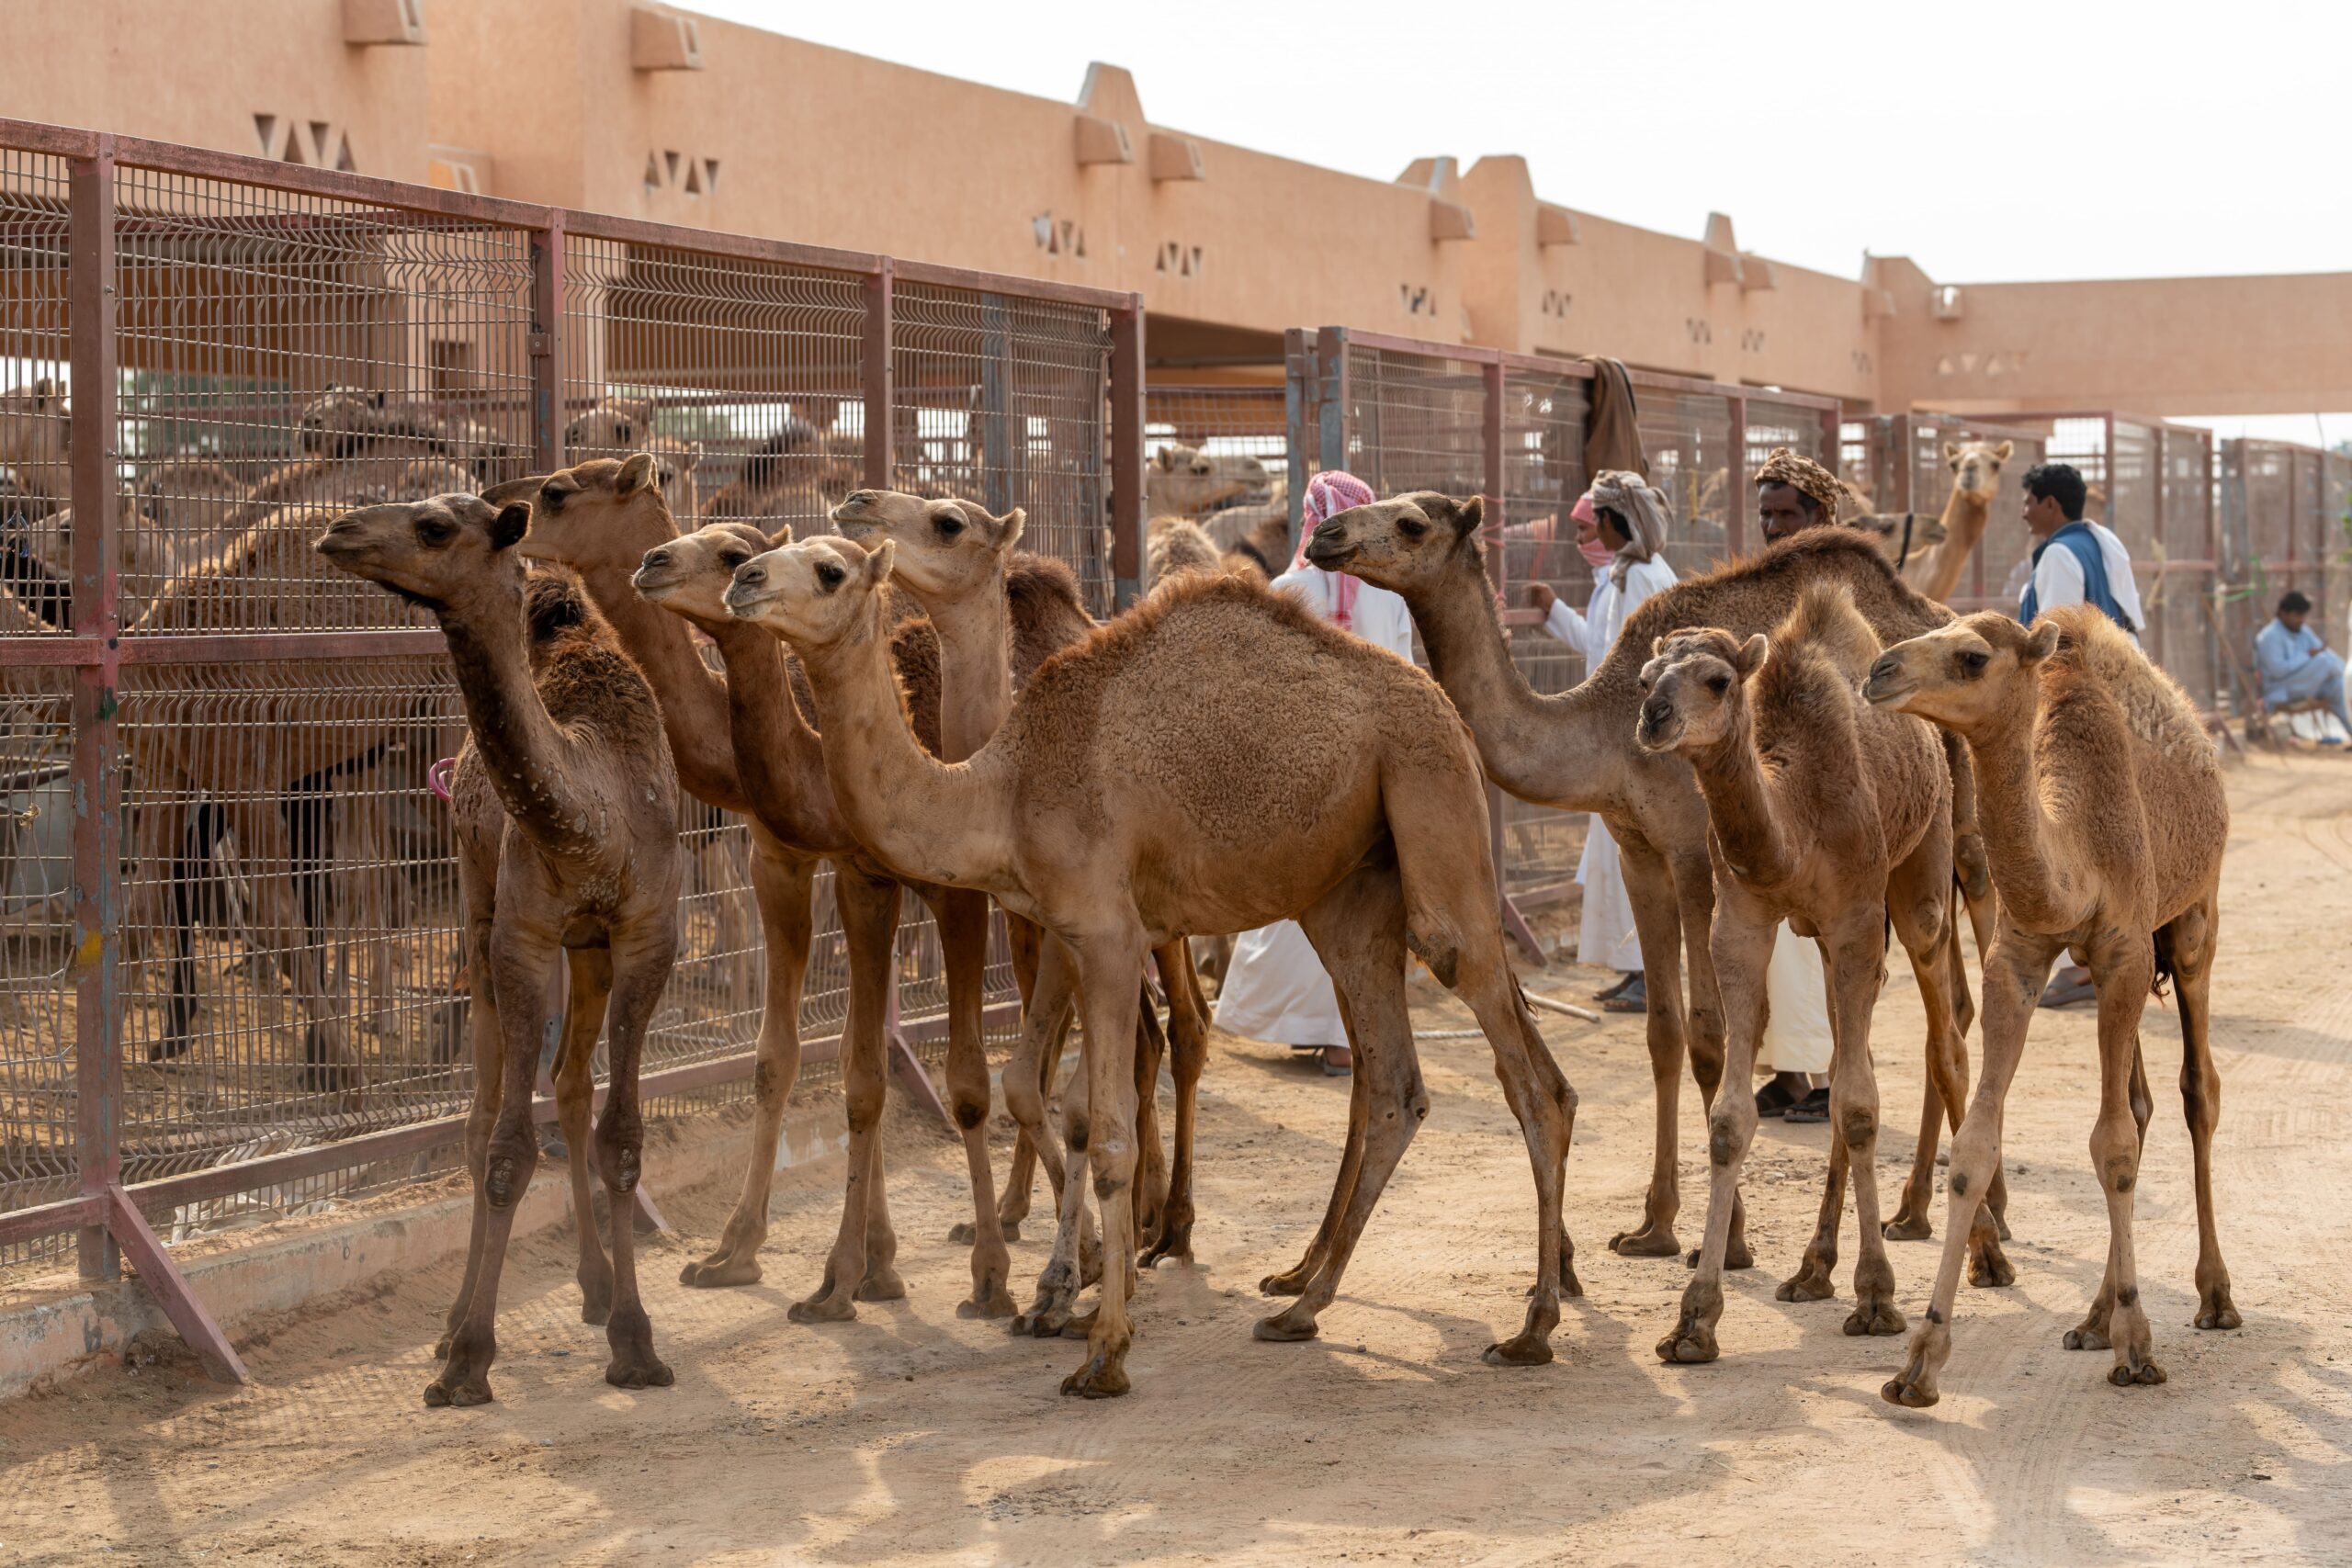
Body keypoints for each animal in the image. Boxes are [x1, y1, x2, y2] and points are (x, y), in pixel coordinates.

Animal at [317, 492, 682, 1407]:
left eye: (436, 525)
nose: (337, 529)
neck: (594, 815)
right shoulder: (520, 933)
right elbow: (508, 1147)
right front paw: (466, 1360)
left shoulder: (645, 933)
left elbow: (622, 1135)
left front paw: (636, 1344)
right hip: (479, 900)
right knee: (482, 1115)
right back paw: (453, 1322)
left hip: (585, 948)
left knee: (572, 1086)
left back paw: (595, 1288)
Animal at [724, 535, 1576, 1397]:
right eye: (778, 550)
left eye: (829, 569)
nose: (744, 577)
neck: (1005, 787)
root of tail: (1449, 711)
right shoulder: (1069, 930)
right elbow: (1069, 1104)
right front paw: (1072, 1296)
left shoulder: (1106, 933)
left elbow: (1109, 1136)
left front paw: (1103, 1346)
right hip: (1351, 893)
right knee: (1399, 1082)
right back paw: (1301, 1306)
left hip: (1432, 808)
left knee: (1520, 1068)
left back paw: (1531, 1326)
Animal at [1307, 498, 2008, 1273]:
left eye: (1410, 522)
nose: (1325, 535)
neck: (1606, 733)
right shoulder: (1637, 850)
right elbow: (1663, 1032)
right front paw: (1654, 1224)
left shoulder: (1696, 854)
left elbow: (1707, 1035)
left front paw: (1730, 1240)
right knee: (1942, 1006)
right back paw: (1918, 1210)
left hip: (1960, 840)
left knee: (1961, 992)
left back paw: (1984, 1223)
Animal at [1634, 584, 1969, 1362]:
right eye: (1644, 677)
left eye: (1717, 679)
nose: (1654, 716)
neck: (1794, 822)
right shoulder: (1742, 920)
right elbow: (1733, 1116)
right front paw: (1694, 1319)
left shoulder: (1856, 916)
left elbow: (1860, 1105)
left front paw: (1877, 1296)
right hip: (1825, 936)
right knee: (1852, 1050)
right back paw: (1814, 1269)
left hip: (1921, 875)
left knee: (1947, 1043)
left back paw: (1989, 1251)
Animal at [1863, 606, 2235, 1406]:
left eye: (1972, 657)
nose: (1879, 670)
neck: (2078, 847)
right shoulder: (2020, 956)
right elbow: (1978, 1144)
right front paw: (1918, 1362)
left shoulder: (2125, 950)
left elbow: (2113, 1143)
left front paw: (2137, 1346)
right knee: (2141, 1102)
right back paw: (2094, 1316)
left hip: (2194, 918)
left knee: (2198, 1091)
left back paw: (2215, 1296)